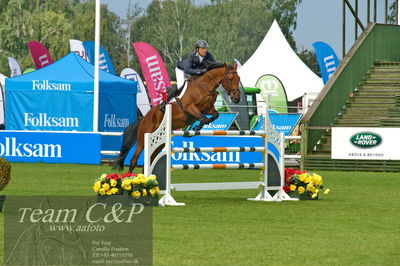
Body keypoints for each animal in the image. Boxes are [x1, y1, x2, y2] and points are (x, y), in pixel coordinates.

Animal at [111, 61, 241, 172]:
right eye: (230, 79)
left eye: (239, 79)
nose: (236, 99)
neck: (204, 86)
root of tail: (144, 117)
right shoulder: (189, 107)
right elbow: (202, 118)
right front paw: (196, 129)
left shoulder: (208, 109)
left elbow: (214, 115)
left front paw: (198, 127)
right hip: (143, 139)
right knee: (133, 160)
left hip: (158, 143)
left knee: (149, 160)